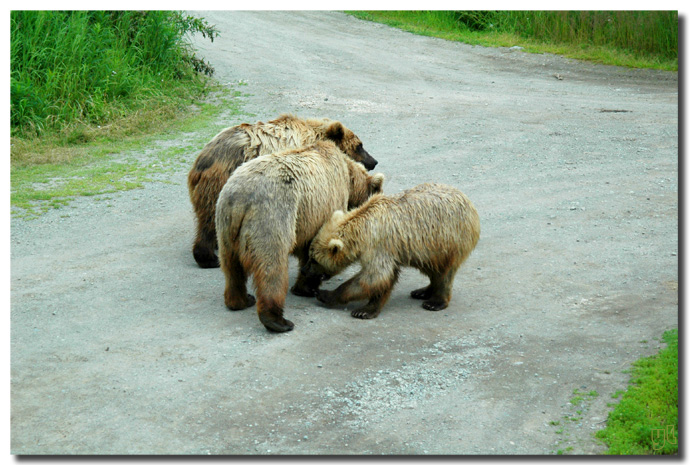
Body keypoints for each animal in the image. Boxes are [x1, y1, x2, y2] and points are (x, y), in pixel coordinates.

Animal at [187, 113, 376, 268]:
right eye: (359, 146)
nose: (374, 161)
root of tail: (202, 160)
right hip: (220, 182)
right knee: (209, 217)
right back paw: (208, 257)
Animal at [215, 140, 384, 332]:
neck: (349, 179)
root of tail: (240, 199)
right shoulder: (323, 204)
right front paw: (309, 286)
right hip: (271, 217)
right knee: (271, 267)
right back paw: (277, 320)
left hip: (225, 225)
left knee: (231, 266)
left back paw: (240, 300)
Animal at [300, 182, 478, 320]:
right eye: (310, 255)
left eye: (314, 259)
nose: (304, 270)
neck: (361, 231)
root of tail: (469, 202)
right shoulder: (390, 251)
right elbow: (384, 279)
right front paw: (368, 309)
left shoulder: (378, 245)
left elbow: (374, 277)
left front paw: (327, 295)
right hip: (427, 248)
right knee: (431, 267)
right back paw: (422, 291)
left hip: (449, 240)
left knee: (445, 272)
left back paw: (435, 302)